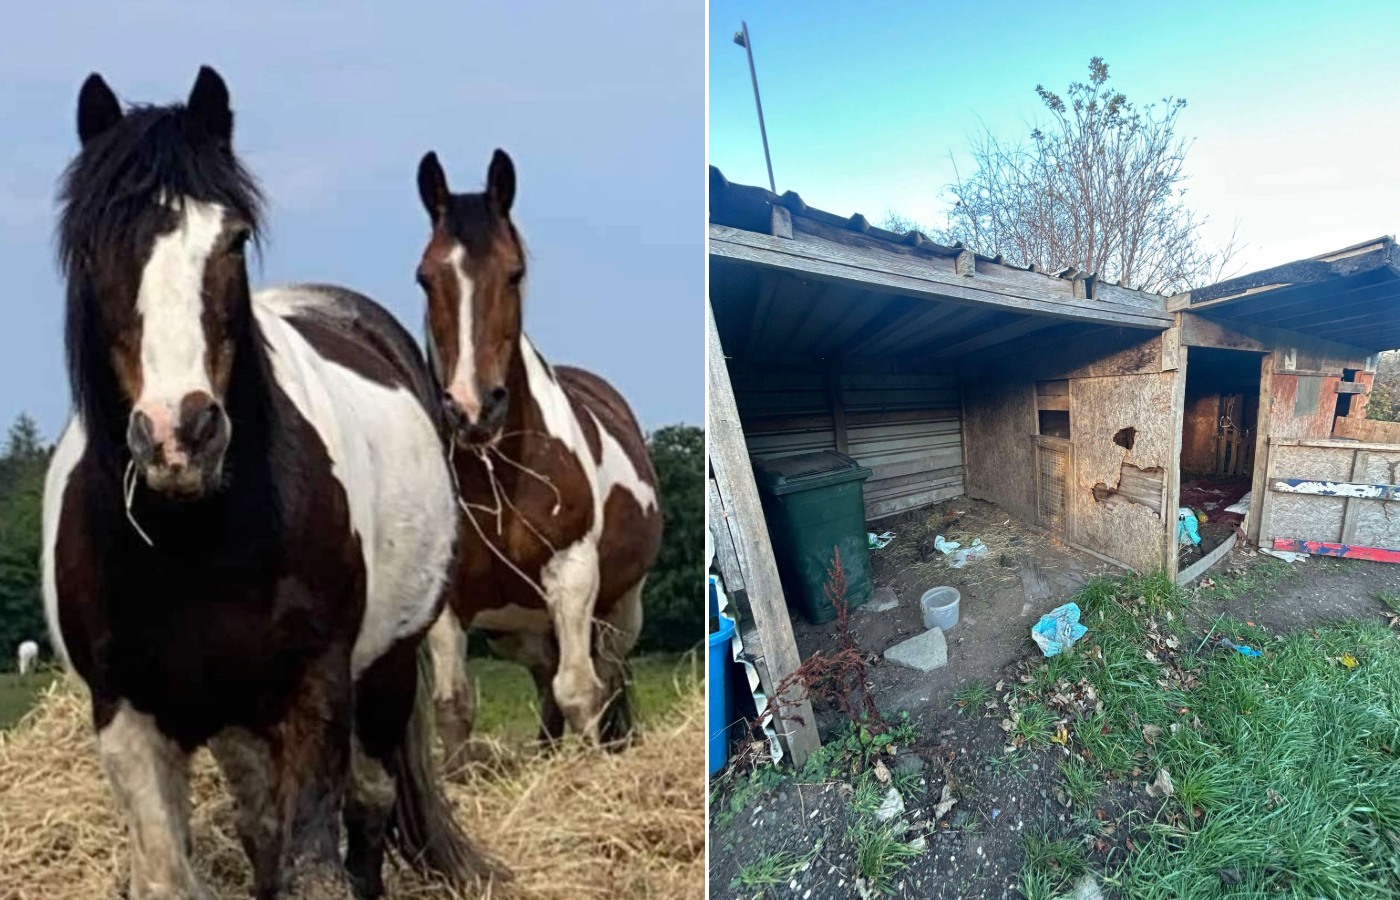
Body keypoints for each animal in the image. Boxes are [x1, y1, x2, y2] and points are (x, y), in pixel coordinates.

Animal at [42, 66, 498, 895]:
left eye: (232, 239)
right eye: (96, 245)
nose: (180, 434)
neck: (192, 542)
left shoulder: (314, 690)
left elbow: (315, 863)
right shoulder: (126, 720)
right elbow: (185, 868)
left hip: (383, 673)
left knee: (371, 800)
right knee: (263, 826)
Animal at [411, 151, 663, 750]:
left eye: (514, 273)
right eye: (425, 277)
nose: (472, 408)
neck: (500, 474)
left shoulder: (571, 574)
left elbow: (582, 694)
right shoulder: (447, 600)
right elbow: (454, 708)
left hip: (620, 610)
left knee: (605, 678)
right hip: (518, 632)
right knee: (546, 682)